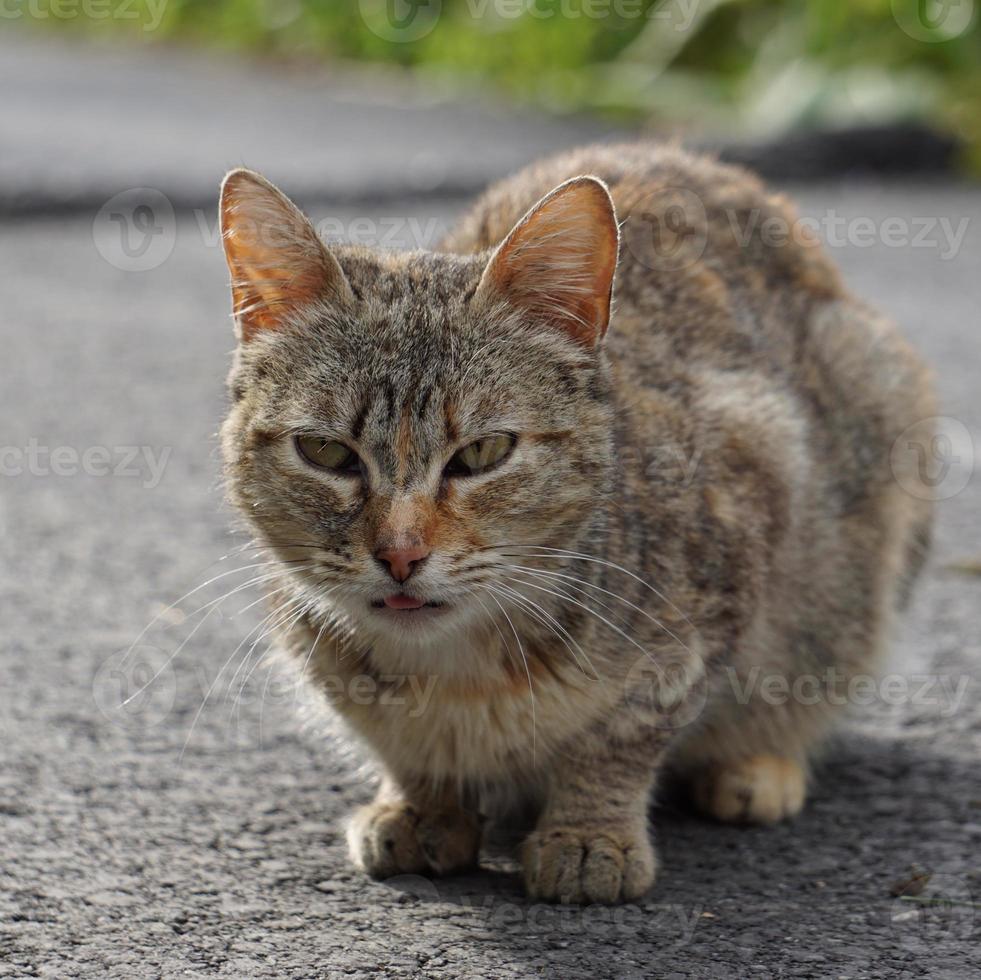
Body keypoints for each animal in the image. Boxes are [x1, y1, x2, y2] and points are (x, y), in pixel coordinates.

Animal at [216, 144, 936, 904]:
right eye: (325, 452)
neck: (458, 672)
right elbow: (401, 743)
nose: (400, 553)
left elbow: (621, 732)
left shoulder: (732, 541)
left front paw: (589, 832)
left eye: (483, 453)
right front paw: (422, 804)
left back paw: (760, 765)